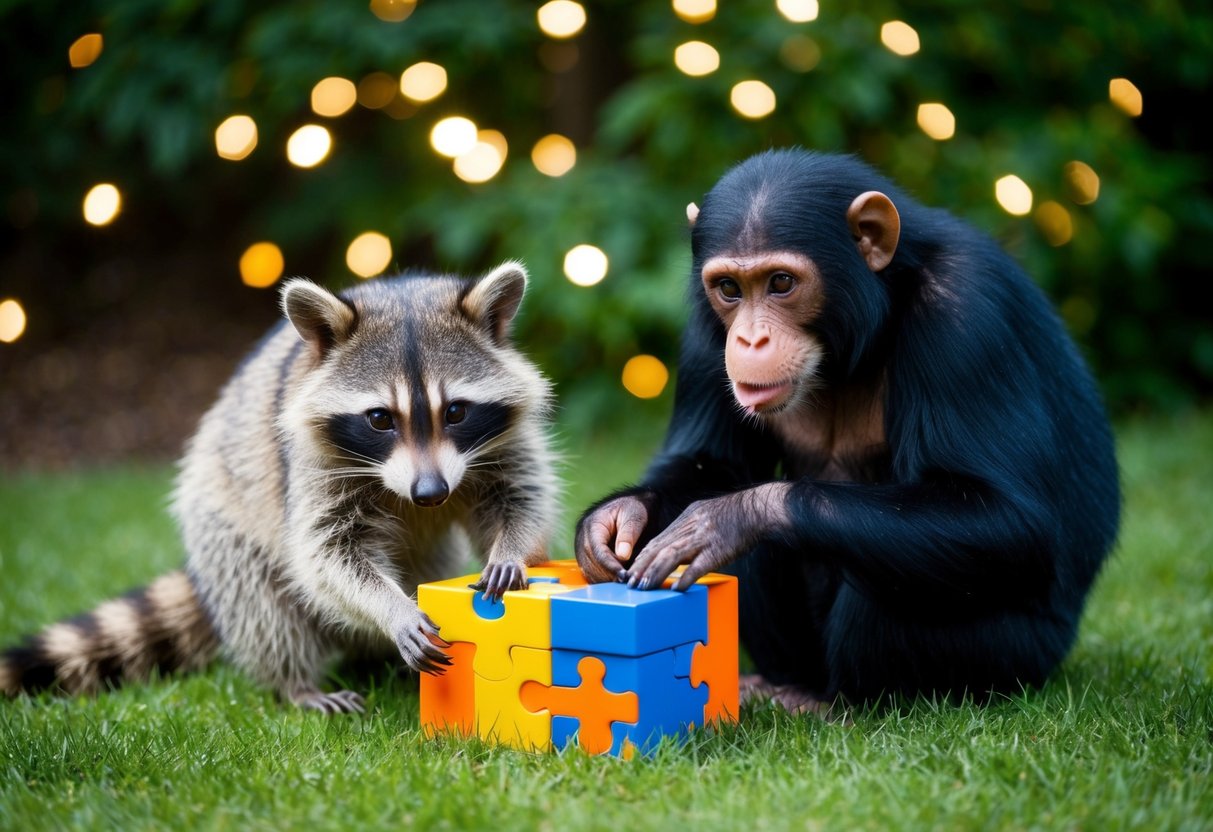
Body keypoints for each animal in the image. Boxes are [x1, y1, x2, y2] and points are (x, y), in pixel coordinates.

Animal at [0, 262, 558, 713]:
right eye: (380, 419)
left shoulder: (503, 439)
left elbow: (519, 497)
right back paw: (296, 683)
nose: (430, 493)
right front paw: (391, 607)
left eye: (456, 411)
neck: (402, 294)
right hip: (219, 517)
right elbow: (327, 554)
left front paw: (510, 549)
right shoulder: (312, 461)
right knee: (261, 601)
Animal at [575, 149, 1121, 711]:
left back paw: (841, 705)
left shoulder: (968, 317)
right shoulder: (707, 331)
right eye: (729, 289)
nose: (748, 340)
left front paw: (732, 515)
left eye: (781, 283)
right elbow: (710, 460)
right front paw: (617, 518)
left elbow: (1006, 517)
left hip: (1018, 655)